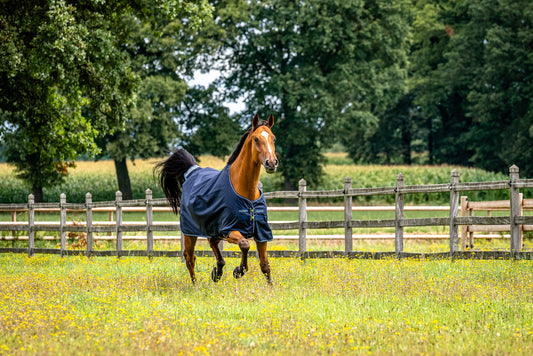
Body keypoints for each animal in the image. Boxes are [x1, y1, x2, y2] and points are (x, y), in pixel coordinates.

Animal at [154, 114, 278, 284]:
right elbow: (245, 244)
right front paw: (238, 271)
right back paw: (196, 285)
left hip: (213, 230)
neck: (247, 195)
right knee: (190, 258)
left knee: (213, 246)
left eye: (273, 138)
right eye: (256, 139)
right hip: (190, 233)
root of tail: (192, 171)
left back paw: (217, 272)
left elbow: (265, 265)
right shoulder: (229, 230)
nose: (271, 163)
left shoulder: (261, 232)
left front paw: (270, 287)